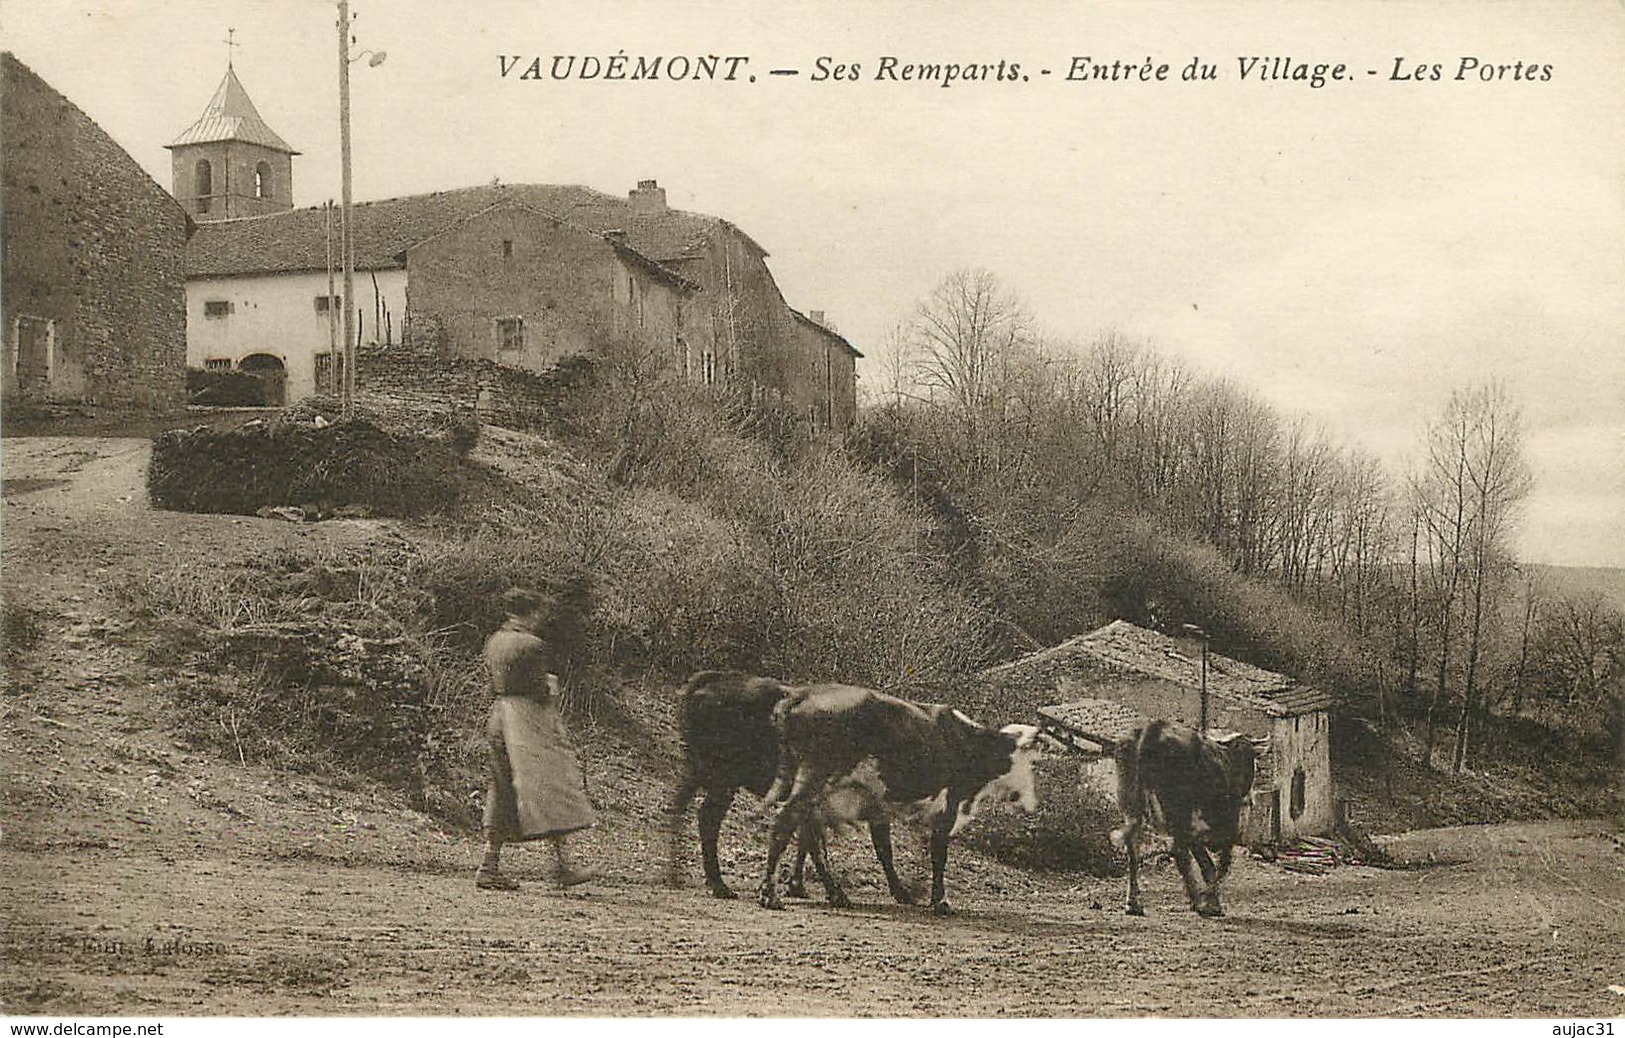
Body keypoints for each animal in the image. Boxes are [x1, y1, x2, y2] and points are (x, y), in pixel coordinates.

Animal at [663, 675, 916, 903]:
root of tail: (708, 680)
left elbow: (807, 840)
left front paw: (797, 886)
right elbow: (880, 849)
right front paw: (900, 893)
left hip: (698, 772)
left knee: (679, 808)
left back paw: (676, 875)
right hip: (722, 780)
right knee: (707, 818)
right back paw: (719, 886)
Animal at [757, 682, 1040, 916]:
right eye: (1031, 762)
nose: (1032, 804)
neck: (968, 743)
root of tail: (801, 695)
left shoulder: (879, 807)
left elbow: (888, 851)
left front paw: (906, 892)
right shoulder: (948, 806)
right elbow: (938, 854)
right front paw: (939, 901)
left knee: (808, 834)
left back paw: (831, 892)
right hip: (814, 778)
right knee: (785, 824)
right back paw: (770, 895)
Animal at [1111, 717, 1261, 922]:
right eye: (1249, 757)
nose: (1248, 796)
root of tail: (1153, 728)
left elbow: (1208, 866)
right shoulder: (1226, 831)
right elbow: (1219, 866)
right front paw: (1211, 903)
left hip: (1131, 804)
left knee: (1134, 851)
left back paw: (1133, 904)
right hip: (1176, 811)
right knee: (1179, 852)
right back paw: (1198, 902)